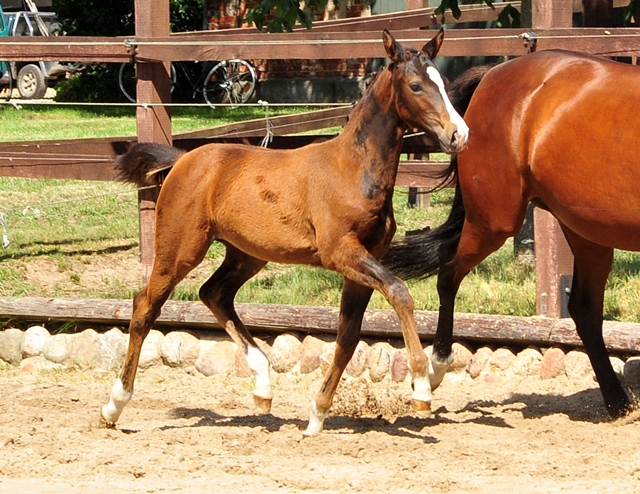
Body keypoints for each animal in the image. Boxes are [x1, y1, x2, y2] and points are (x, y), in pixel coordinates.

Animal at [101, 29, 470, 436]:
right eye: (416, 85)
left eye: (444, 82)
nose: (459, 134)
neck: (353, 169)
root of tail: (182, 159)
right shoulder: (340, 252)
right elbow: (399, 291)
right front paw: (421, 385)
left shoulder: (362, 262)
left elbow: (347, 337)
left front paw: (316, 416)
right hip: (180, 247)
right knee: (145, 306)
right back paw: (114, 405)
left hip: (247, 254)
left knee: (214, 293)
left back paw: (262, 385)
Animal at [384, 50, 640, 418]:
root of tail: (495, 73)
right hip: (495, 221)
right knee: (448, 273)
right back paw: (436, 369)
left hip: (588, 231)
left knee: (584, 308)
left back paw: (617, 401)